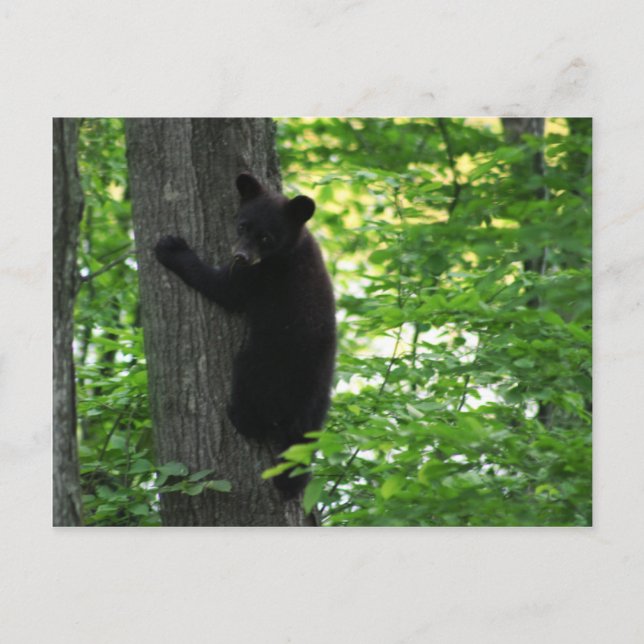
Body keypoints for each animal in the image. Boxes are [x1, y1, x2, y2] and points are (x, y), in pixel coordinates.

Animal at [154, 172, 336, 499]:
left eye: (266, 237)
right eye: (242, 225)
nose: (240, 256)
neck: (290, 248)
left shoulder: (259, 276)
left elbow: (223, 288)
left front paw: (172, 248)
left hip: (261, 364)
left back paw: (239, 416)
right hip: (320, 404)